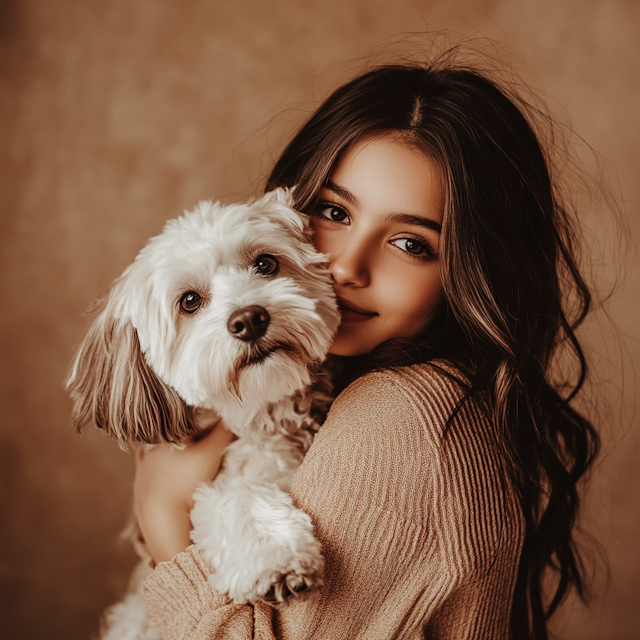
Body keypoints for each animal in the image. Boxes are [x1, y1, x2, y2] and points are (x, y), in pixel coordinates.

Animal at [66, 188, 340, 636]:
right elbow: (236, 496)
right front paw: (275, 558)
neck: (263, 421)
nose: (249, 319)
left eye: (266, 264)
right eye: (189, 301)